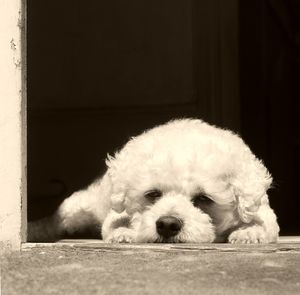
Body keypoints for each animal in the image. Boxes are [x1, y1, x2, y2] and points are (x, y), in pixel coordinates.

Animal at [28, 119, 278, 244]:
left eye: (203, 199)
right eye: (152, 194)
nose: (167, 224)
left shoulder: (262, 211)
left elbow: (262, 225)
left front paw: (248, 233)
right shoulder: (116, 211)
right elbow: (116, 224)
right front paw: (125, 233)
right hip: (79, 208)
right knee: (54, 221)